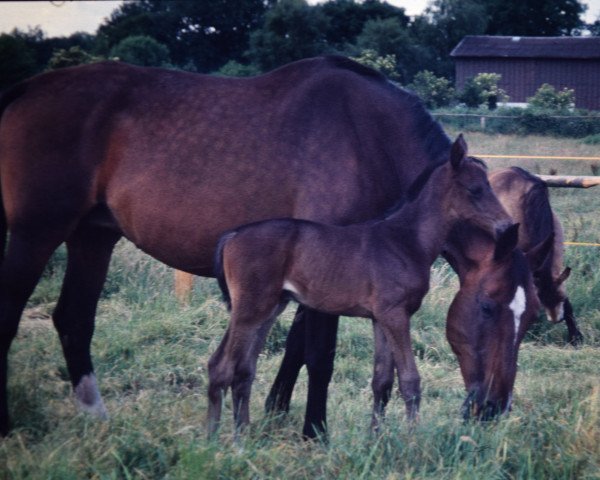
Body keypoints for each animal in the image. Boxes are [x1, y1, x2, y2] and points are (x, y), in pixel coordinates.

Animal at [0, 55, 478, 436]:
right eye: (489, 313)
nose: (484, 411)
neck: (368, 134)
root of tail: (28, 88)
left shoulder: (316, 277)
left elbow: (294, 348)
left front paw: (274, 412)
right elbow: (319, 355)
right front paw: (313, 432)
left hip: (92, 236)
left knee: (74, 319)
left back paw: (96, 418)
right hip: (35, 232)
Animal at [207, 136, 510, 438]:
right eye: (476, 189)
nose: (506, 226)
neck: (406, 241)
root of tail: (233, 235)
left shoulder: (380, 318)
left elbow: (382, 380)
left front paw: (375, 437)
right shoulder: (396, 315)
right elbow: (410, 380)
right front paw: (413, 438)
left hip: (270, 307)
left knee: (241, 368)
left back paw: (242, 434)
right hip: (250, 309)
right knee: (223, 366)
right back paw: (216, 439)